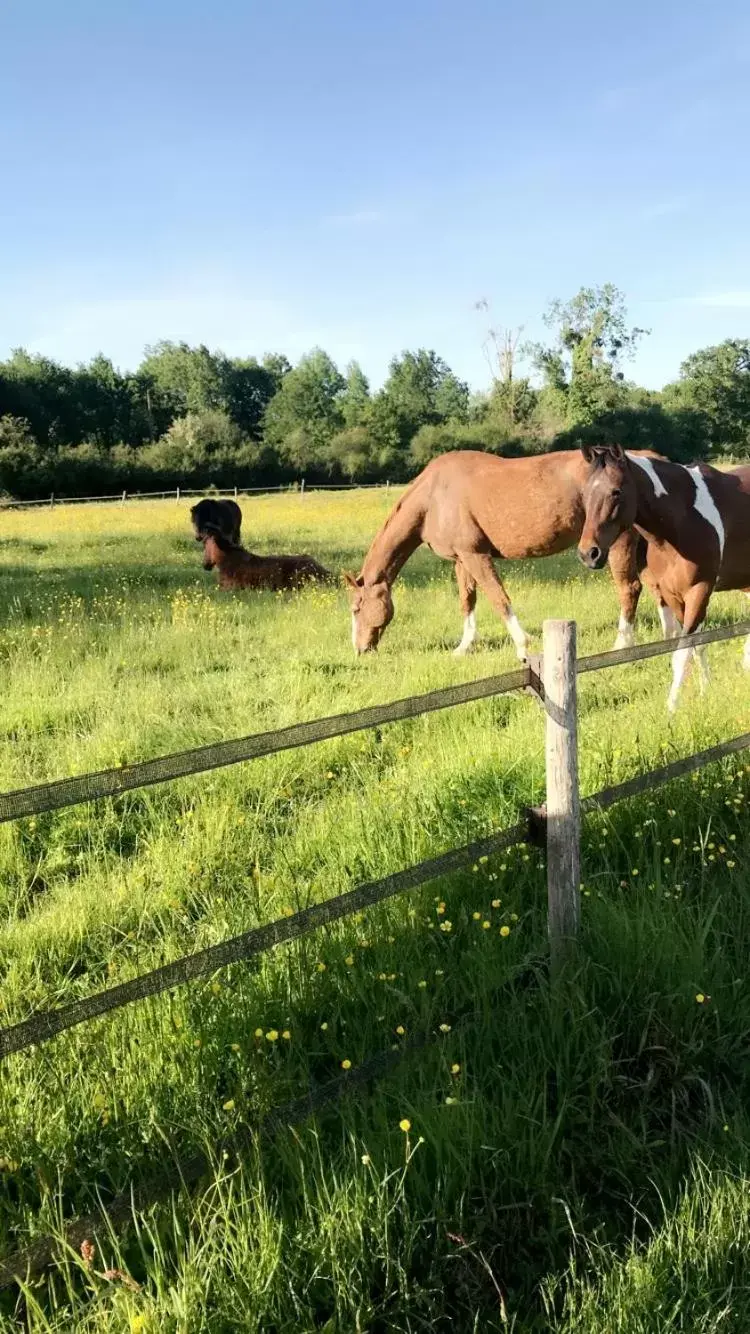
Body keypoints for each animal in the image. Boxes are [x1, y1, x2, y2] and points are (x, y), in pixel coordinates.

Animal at [341, 448, 656, 656]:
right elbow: (467, 600)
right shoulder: (462, 559)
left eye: (356, 608)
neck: (433, 498)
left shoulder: (476, 556)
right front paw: (464, 647)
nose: (359, 649)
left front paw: (523, 645)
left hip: (618, 545)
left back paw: (622, 644)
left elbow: (498, 598)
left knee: (629, 588)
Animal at [579, 442, 750, 715]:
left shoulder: (699, 591)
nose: (588, 554)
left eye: (616, 492)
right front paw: (706, 689)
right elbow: (698, 645)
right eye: (584, 492)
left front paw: (671, 707)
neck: (682, 520)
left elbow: (682, 653)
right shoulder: (674, 595)